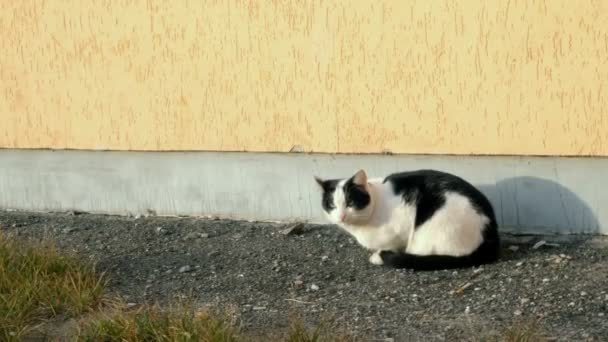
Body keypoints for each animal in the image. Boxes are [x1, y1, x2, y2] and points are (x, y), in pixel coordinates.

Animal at [314, 170, 498, 272]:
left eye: (350, 203)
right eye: (332, 205)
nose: (341, 216)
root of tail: (492, 232)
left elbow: (393, 244)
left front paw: (379, 255)